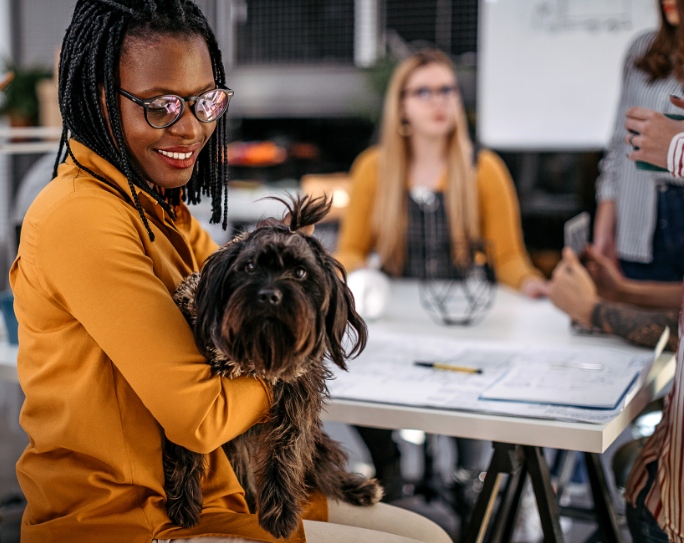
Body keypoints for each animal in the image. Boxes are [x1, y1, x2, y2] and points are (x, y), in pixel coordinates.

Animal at [163, 196, 382, 540]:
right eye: (250, 266)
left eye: (301, 272)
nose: (269, 295)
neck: (261, 350)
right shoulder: (193, 405)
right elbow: (190, 445)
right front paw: (185, 503)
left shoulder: (296, 402)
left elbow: (286, 453)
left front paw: (279, 513)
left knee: (321, 466)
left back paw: (355, 487)